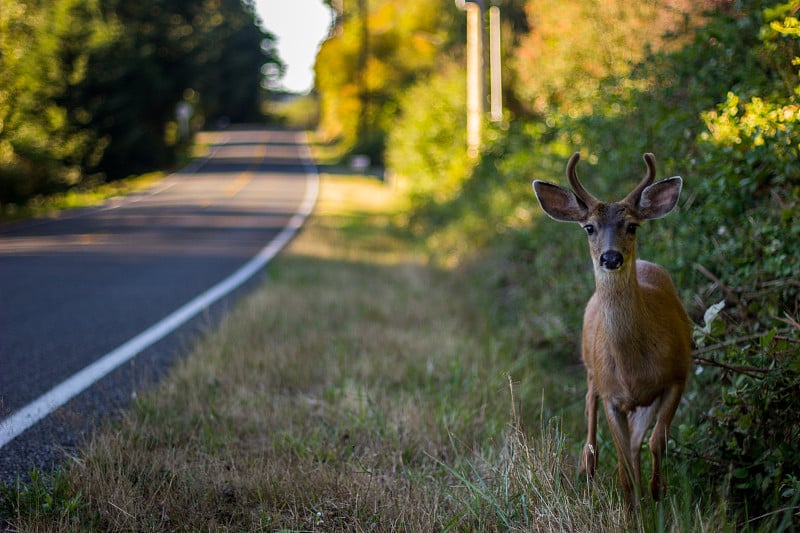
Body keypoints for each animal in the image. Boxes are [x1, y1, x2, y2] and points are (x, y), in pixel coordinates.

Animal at [532, 151, 692, 508]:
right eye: (589, 227)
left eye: (632, 225)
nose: (610, 257)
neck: (633, 367)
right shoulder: (611, 395)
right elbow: (622, 461)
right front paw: (633, 507)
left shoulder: (678, 374)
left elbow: (655, 441)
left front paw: (655, 494)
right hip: (592, 370)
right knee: (591, 414)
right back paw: (586, 468)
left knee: (635, 443)